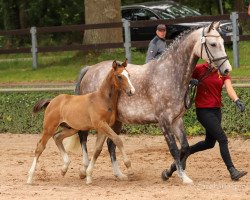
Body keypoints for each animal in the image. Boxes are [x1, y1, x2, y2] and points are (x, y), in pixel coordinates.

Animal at [68, 21, 230, 183]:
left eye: (223, 42)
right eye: (213, 44)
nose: (227, 69)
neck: (170, 74)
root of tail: (90, 69)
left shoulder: (176, 120)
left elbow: (185, 148)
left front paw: (169, 172)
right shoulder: (164, 120)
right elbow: (173, 149)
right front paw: (182, 177)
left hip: (116, 121)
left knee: (111, 144)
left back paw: (119, 174)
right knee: (84, 137)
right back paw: (84, 170)